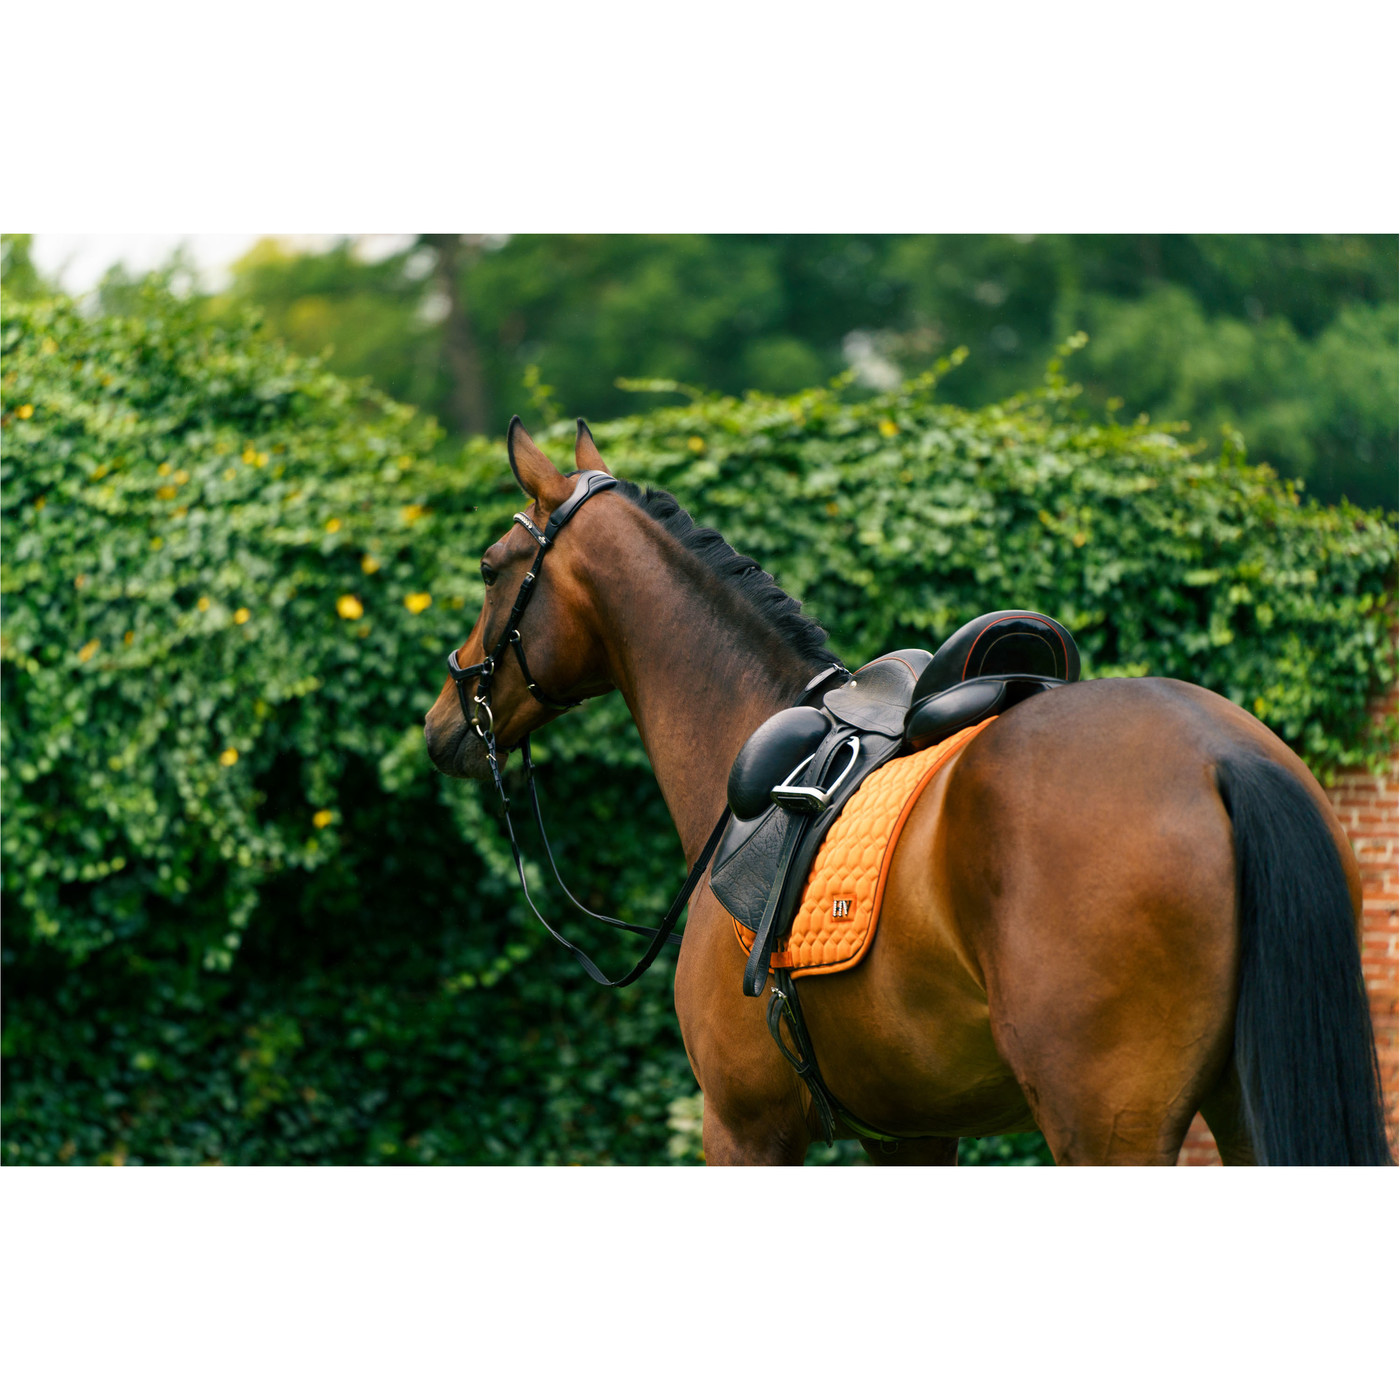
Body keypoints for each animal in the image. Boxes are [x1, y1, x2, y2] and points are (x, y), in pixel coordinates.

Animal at [423, 418, 1392, 1166]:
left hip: (1107, 1123)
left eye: (490, 565)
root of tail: (1221, 757)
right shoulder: (910, 1133)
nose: (443, 720)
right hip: (1240, 1102)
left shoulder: (743, 1126)